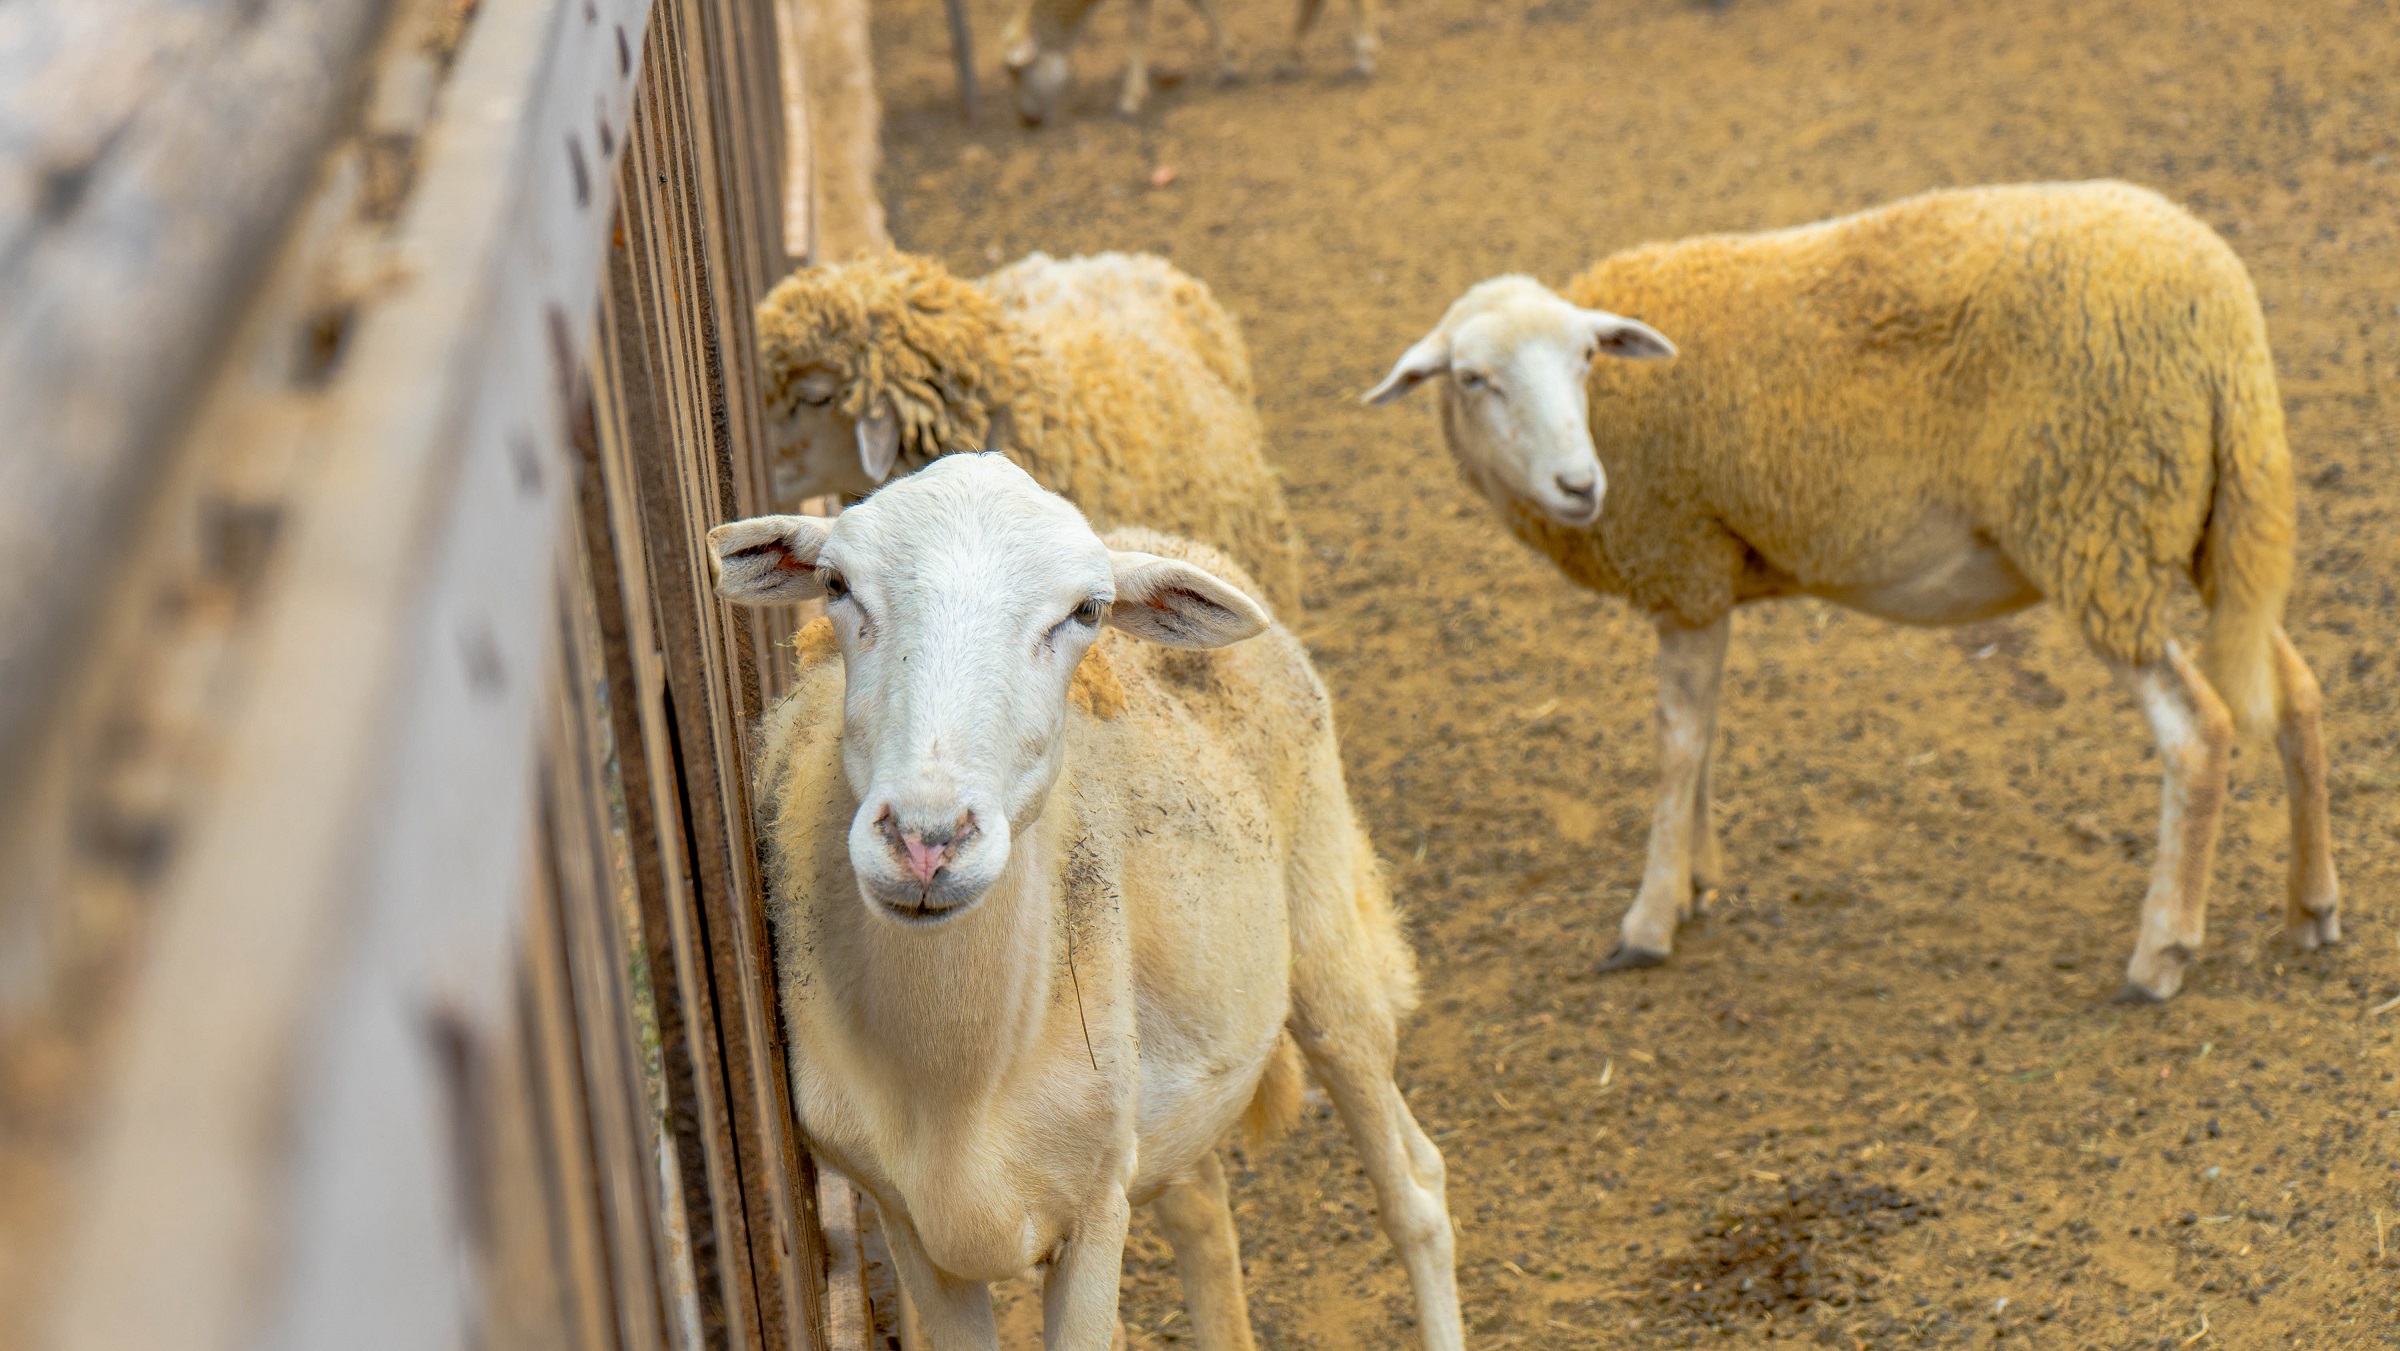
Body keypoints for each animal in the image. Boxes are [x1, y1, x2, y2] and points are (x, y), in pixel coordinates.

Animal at [705, 458, 1459, 1351]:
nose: (927, 840)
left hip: (1323, 930)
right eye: (835, 584)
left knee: (1414, 1190)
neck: (956, 1074)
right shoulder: (909, 1221)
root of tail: (1161, 535)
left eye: (1086, 612)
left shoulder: (1095, 1213)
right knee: (1204, 1206)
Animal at [998, 0, 1382, 122]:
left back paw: (1362, 54)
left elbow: (1137, 25)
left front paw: (1130, 97)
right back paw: (1291, 57)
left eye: (1017, 72)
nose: (1028, 120)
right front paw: (1231, 61)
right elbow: (1199, 4)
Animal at [1372, 179, 2342, 1003]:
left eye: (1584, 358)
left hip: (2096, 521)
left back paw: (2161, 953)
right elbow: (1705, 736)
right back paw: (2312, 908)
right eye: (1473, 378)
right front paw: (1696, 879)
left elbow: (1677, 742)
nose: (1581, 485)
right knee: (2293, 693)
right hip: (2212, 522)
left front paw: (1648, 920)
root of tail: (2221, 313)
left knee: (2198, 731)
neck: (1616, 412)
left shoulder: (1683, 560)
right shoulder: (1710, 572)